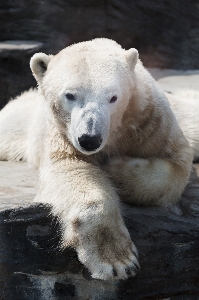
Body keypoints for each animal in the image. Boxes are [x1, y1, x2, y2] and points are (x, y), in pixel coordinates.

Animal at [0, 38, 197, 280]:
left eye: (113, 97)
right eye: (70, 95)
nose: (89, 139)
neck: (118, 128)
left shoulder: (152, 121)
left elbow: (176, 164)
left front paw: (114, 169)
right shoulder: (63, 136)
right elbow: (72, 170)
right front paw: (117, 261)